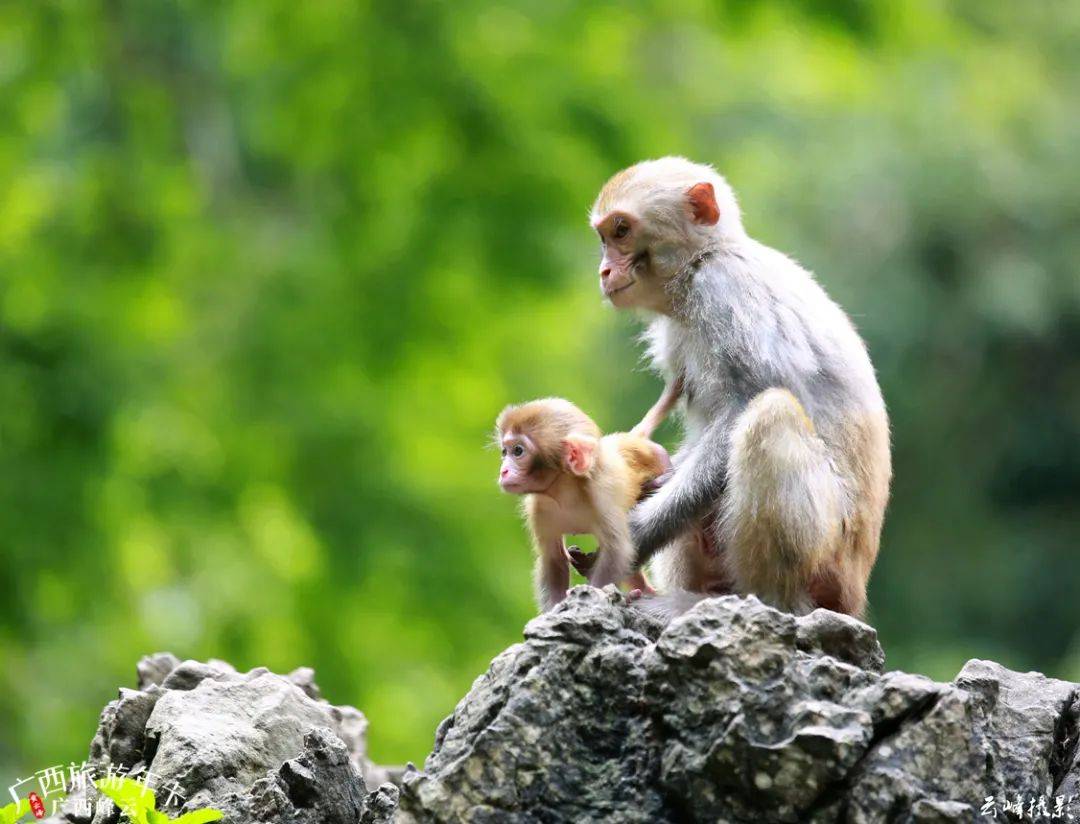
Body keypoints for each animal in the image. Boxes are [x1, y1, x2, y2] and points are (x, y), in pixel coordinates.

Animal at [494, 399, 665, 613]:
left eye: (518, 451)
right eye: (504, 452)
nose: (503, 471)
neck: (565, 491)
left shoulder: (603, 494)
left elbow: (616, 551)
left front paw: (594, 597)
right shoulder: (539, 508)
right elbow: (554, 558)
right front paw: (555, 607)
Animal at [587, 157, 889, 617]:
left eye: (621, 230)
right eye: (604, 236)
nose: (604, 271)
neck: (700, 262)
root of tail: (854, 594)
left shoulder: (724, 291)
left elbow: (743, 404)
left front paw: (637, 532)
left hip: (831, 554)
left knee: (771, 413)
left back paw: (768, 601)